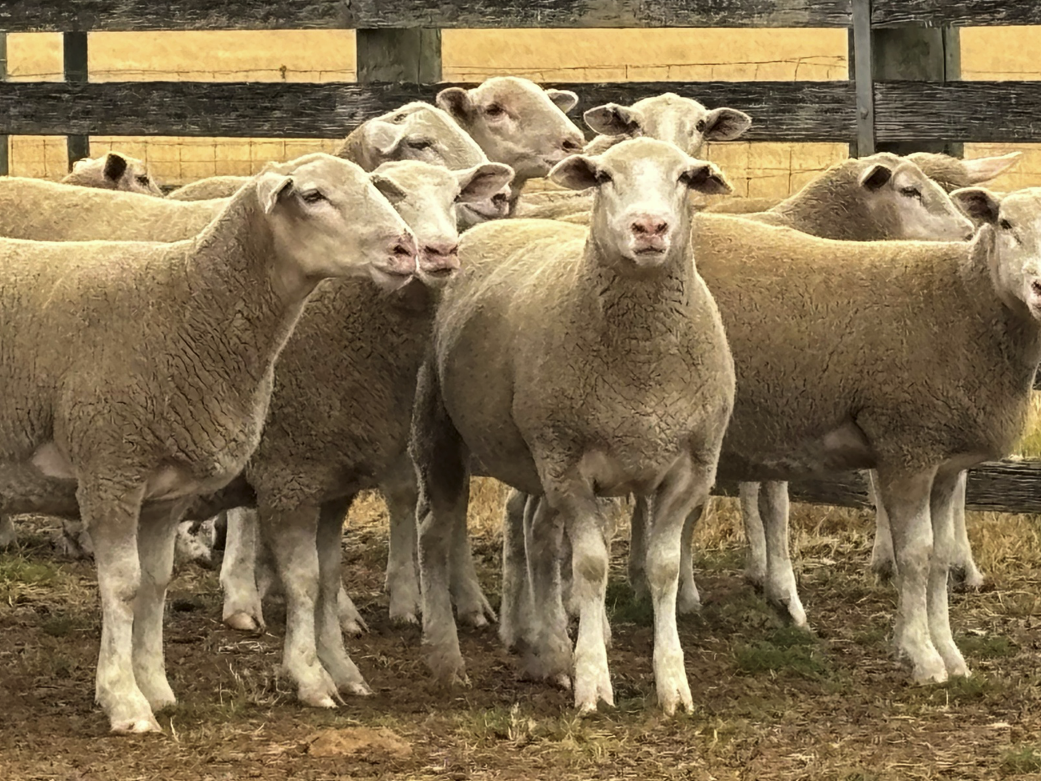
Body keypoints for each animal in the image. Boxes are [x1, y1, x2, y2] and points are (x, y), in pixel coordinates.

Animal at [0, 152, 419, 733]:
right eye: (312, 196)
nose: (407, 249)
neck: (187, 303)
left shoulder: (165, 492)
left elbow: (154, 582)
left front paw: (155, 689)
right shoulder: (111, 466)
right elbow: (122, 585)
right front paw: (124, 702)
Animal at [410, 138, 735, 715]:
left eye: (684, 177)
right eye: (603, 176)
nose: (649, 227)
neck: (643, 361)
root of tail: (499, 226)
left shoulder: (690, 470)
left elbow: (664, 569)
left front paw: (672, 684)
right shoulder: (570, 467)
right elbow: (589, 567)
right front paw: (593, 682)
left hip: (537, 454)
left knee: (536, 534)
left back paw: (547, 654)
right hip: (443, 425)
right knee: (433, 530)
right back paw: (447, 657)